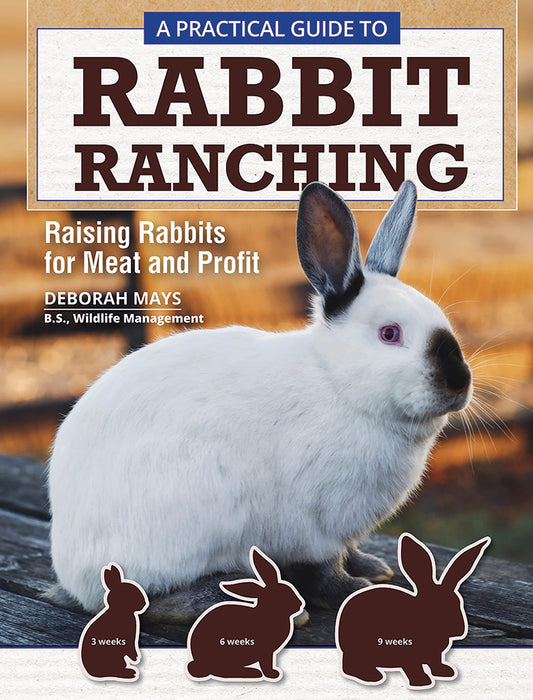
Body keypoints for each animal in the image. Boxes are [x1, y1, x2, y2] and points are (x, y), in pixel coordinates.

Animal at [48, 180, 473, 623]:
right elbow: (326, 568)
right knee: (157, 598)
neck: (337, 383)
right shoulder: (316, 526)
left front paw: (373, 568)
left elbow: (349, 552)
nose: (459, 382)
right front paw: (352, 589)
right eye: (390, 334)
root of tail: (73, 574)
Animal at [336, 533, 490, 689]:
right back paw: (372, 676)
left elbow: (435, 664)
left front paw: (446, 672)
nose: (459, 630)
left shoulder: (435, 656)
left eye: (458, 603)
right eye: (432, 608)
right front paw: (422, 682)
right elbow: (413, 668)